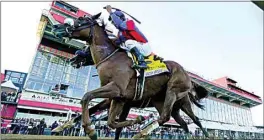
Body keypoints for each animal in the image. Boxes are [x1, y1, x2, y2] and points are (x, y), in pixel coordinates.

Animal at [51, 12, 208, 139]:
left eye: (80, 20)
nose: (57, 27)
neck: (111, 58)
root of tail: (188, 76)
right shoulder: (117, 98)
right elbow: (107, 119)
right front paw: (61, 127)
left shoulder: (117, 89)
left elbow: (86, 97)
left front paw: (90, 130)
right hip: (165, 102)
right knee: (184, 123)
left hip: (174, 93)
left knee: (173, 118)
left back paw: (141, 134)